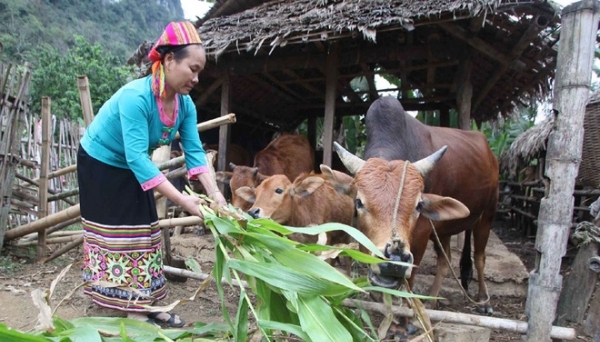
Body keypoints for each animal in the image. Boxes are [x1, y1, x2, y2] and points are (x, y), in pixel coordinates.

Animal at [332, 97, 496, 316]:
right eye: (359, 202)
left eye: (418, 206)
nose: (394, 259)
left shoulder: (421, 235)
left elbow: (408, 284)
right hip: (444, 228)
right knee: (444, 261)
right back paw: (432, 301)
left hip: (487, 216)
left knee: (479, 257)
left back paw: (484, 300)